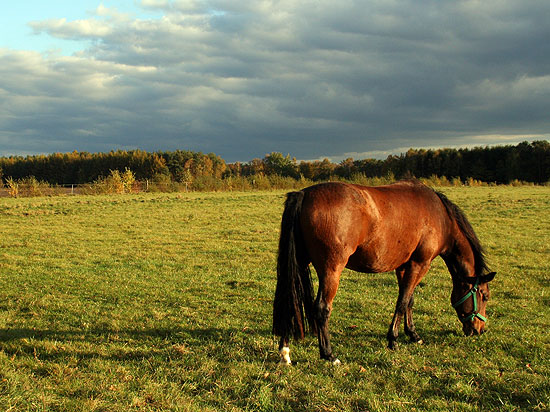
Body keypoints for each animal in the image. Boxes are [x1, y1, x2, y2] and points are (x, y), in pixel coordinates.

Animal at [274, 180, 498, 364]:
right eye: (485, 296)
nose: (479, 330)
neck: (441, 217)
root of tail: (303, 194)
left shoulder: (404, 266)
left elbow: (409, 300)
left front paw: (413, 334)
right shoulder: (420, 264)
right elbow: (402, 303)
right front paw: (393, 340)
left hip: (299, 264)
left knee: (289, 301)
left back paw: (285, 352)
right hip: (331, 269)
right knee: (321, 308)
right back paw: (329, 354)